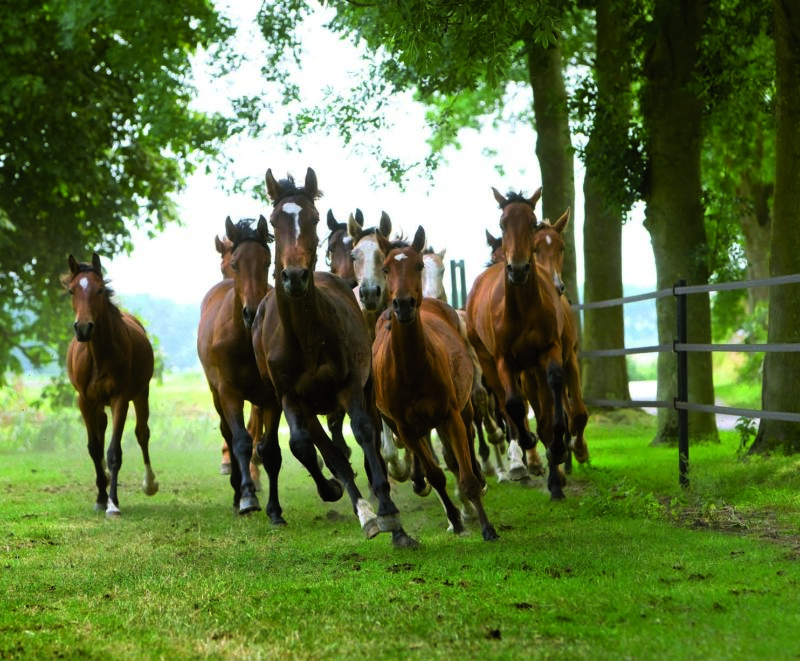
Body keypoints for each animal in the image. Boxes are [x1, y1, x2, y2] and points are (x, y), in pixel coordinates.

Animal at [63, 253, 159, 516]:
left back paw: (149, 483)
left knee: (142, 433)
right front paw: (100, 497)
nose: (83, 328)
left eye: (99, 289)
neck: (98, 355)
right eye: (72, 291)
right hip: (98, 404)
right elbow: (95, 448)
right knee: (102, 428)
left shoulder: (120, 399)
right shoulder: (85, 402)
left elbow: (114, 451)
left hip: (141, 394)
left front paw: (113, 504)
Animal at [197, 216, 285, 520]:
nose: (252, 311)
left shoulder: (271, 398)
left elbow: (269, 449)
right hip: (217, 394)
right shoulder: (229, 392)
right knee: (229, 432)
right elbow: (241, 441)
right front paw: (247, 497)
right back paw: (238, 489)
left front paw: (274, 509)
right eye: (234, 264)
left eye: (267, 262)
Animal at [251, 167, 416, 547]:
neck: (306, 336)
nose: (294, 276)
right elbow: (304, 445)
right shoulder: (290, 397)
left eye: (312, 218)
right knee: (323, 448)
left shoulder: (351, 384)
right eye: (273, 222)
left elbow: (364, 431)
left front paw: (389, 514)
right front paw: (339, 493)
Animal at [372, 226, 498, 541]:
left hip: (462, 406)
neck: (411, 370)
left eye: (417, 265)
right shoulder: (405, 428)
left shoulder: (449, 414)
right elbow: (436, 474)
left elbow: (464, 473)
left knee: (468, 436)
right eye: (386, 268)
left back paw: (480, 473)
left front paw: (486, 525)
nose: (403, 304)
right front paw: (455, 518)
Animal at [466, 186, 570, 500]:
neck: (522, 307)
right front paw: (527, 446)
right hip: (487, 360)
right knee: (505, 401)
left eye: (532, 222)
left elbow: (555, 384)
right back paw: (520, 460)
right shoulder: (503, 358)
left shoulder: (549, 349)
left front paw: (557, 448)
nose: (519, 269)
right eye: (502, 224)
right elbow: (512, 403)